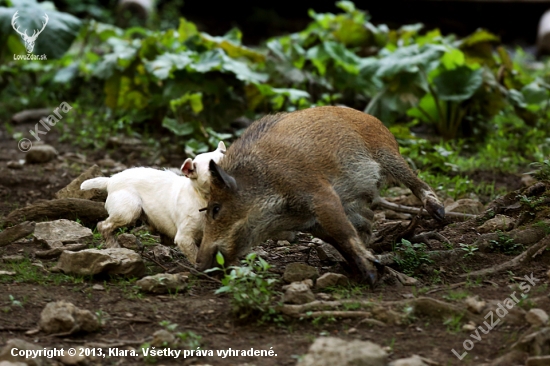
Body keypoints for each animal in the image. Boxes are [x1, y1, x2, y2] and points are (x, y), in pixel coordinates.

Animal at [81, 141, 226, 264]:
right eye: (212, 170)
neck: (203, 198)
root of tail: (111, 180)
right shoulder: (184, 237)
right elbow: (195, 256)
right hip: (129, 210)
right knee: (103, 226)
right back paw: (114, 246)